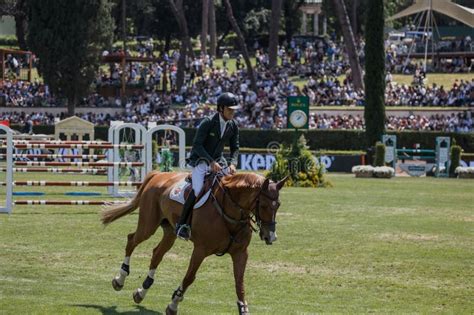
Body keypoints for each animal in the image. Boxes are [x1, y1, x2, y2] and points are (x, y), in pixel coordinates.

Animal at [101, 172, 286, 314]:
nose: (270, 237)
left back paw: (141, 291)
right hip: (148, 225)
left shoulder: (240, 253)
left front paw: (243, 308)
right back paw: (120, 279)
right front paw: (173, 304)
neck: (230, 214)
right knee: (132, 240)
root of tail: (158, 174)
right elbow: (190, 277)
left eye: (278, 205)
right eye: (263, 205)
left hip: (170, 231)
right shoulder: (200, 250)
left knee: (157, 253)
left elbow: (239, 283)